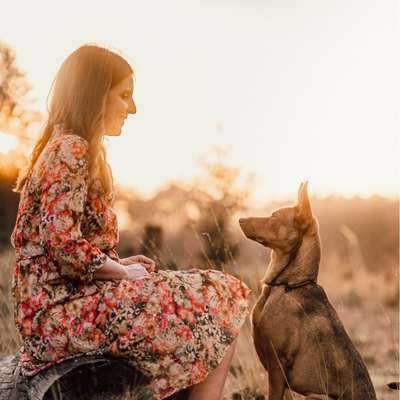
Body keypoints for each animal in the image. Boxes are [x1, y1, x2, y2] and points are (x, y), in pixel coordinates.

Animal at [239, 183, 376, 398]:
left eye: (274, 216)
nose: (240, 219)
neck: (287, 284)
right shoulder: (279, 376)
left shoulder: (276, 365)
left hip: (316, 395)